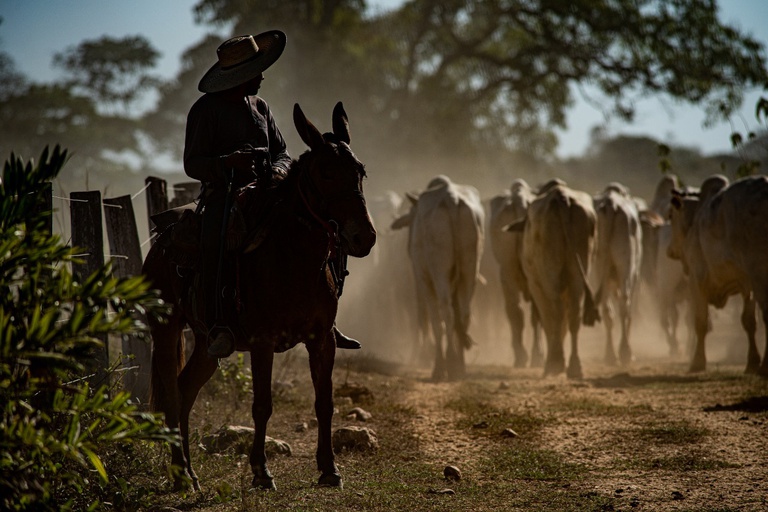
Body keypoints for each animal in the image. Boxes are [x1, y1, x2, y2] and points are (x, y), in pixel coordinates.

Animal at [145, 102, 378, 490]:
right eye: (326, 173)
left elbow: (324, 402)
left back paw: (191, 473)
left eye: (359, 171)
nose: (365, 237)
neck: (293, 258)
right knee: (173, 397)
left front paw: (329, 468)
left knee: (186, 389)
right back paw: (180, 476)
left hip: (207, 345)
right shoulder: (262, 342)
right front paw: (261, 471)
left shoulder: (322, 340)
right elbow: (262, 405)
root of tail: (160, 243)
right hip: (165, 330)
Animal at [392, 176, 484, 380]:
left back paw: (444, 365)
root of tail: (452, 199)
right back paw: (459, 366)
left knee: (444, 314)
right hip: (470, 270)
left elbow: (430, 318)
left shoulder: (421, 278)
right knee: (464, 314)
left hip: (438, 272)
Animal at [664, 174, 768, 374]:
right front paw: (752, 362)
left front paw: (697, 362)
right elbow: (749, 322)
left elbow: (700, 322)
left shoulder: (696, 281)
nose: (669, 250)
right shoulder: (747, 284)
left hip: (760, 274)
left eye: (670, 215)